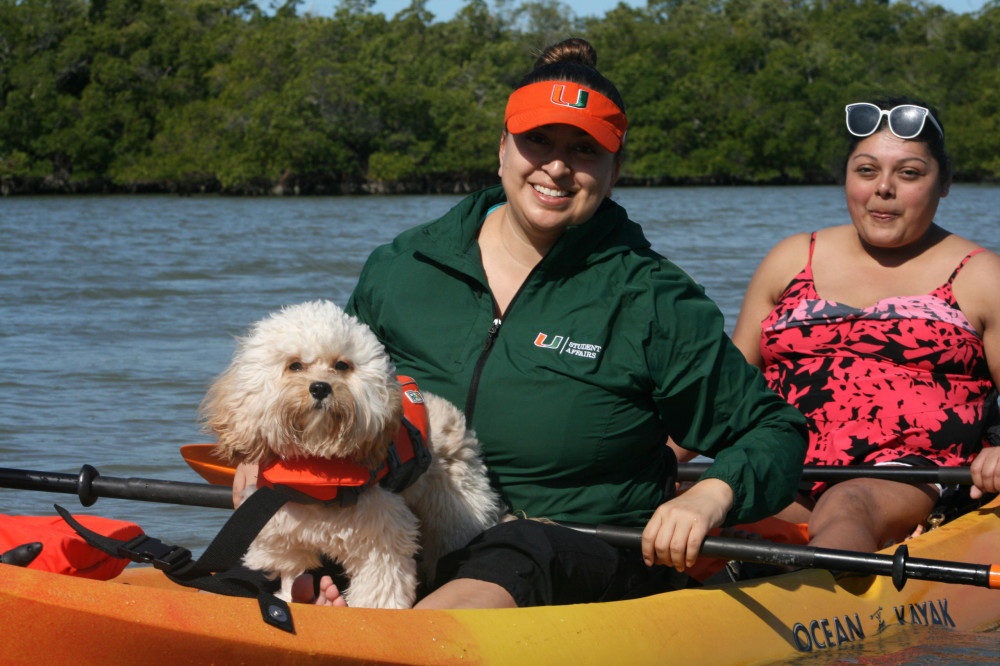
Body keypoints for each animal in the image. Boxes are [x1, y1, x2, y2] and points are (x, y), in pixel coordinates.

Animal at [200, 300, 504, 608]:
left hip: (453, 511)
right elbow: (292, 573)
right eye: (294, 365)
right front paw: (290, 597)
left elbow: (379, 589)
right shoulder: (284, 530)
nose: (320, 387)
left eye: (341, 365)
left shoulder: (381, 537)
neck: (318, 465)